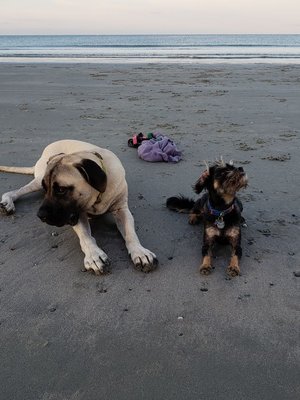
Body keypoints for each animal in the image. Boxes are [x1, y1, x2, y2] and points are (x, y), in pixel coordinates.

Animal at [0, 139, 158, 274]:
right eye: (46, 189)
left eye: (61, 189)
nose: (40, 216)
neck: (98, 196)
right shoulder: (76, 214)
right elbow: (85, 237)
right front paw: (94, 255)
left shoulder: (121, 209)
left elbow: (130, 233)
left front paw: (140, 252)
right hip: (38, 180)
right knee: (17, 191)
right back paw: (7, 201)